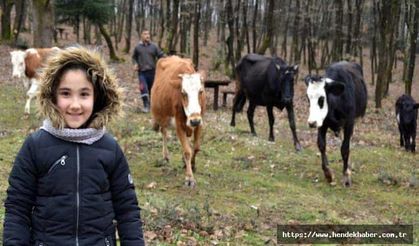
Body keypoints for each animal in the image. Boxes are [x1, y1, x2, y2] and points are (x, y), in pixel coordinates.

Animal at [152, 55, 206, 186]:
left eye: (200, 91)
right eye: (183, 93)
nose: (194, 121)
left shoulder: (200, 122)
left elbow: (196, 147)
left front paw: (192, 165)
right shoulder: (179, 125)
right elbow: (187, 151)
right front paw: (189, 178)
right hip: (163, 119)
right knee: (164, 132)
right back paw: (166, 156)